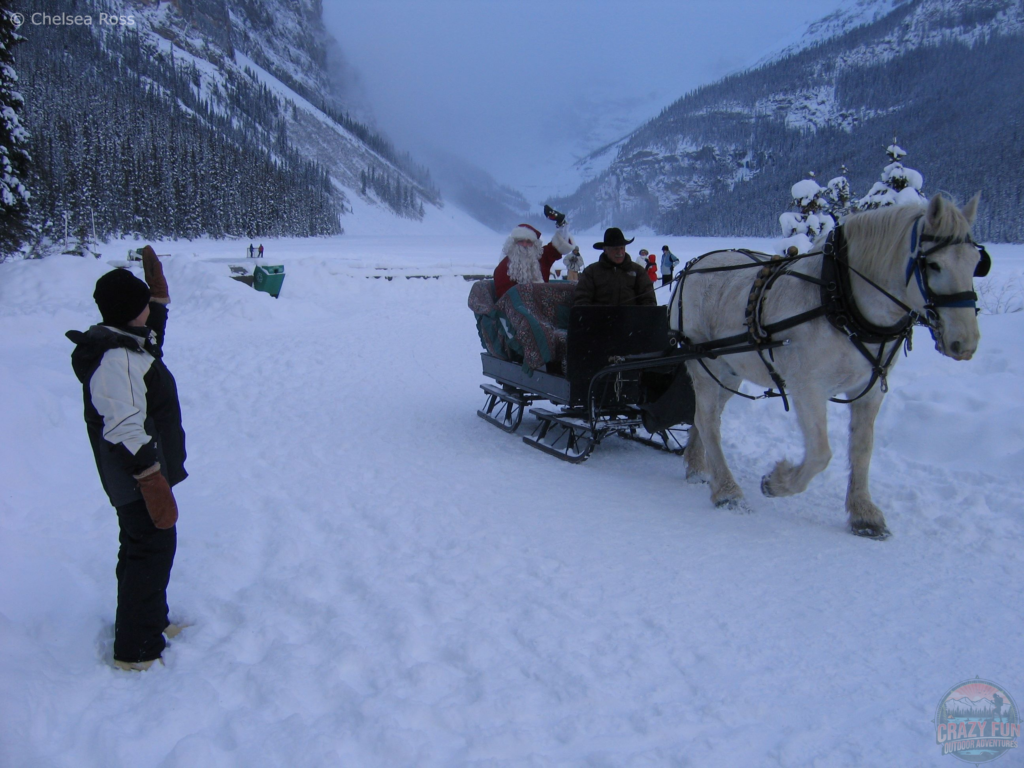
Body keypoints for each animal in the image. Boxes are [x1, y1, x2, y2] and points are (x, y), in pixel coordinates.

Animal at [671, 195, 983, 536]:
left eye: (976, 263)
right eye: (934, 265)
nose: (965, 343)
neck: (840, 301)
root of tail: (693, 266)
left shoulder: (869, 390)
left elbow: (862, 449)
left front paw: (864, 513)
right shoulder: (807, 387)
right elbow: (821, 453)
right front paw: (777, 482)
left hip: (729, 373)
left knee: (705, 417)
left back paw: (698, 466)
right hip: (703, 363)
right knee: (708, 420)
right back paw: (728, 491)